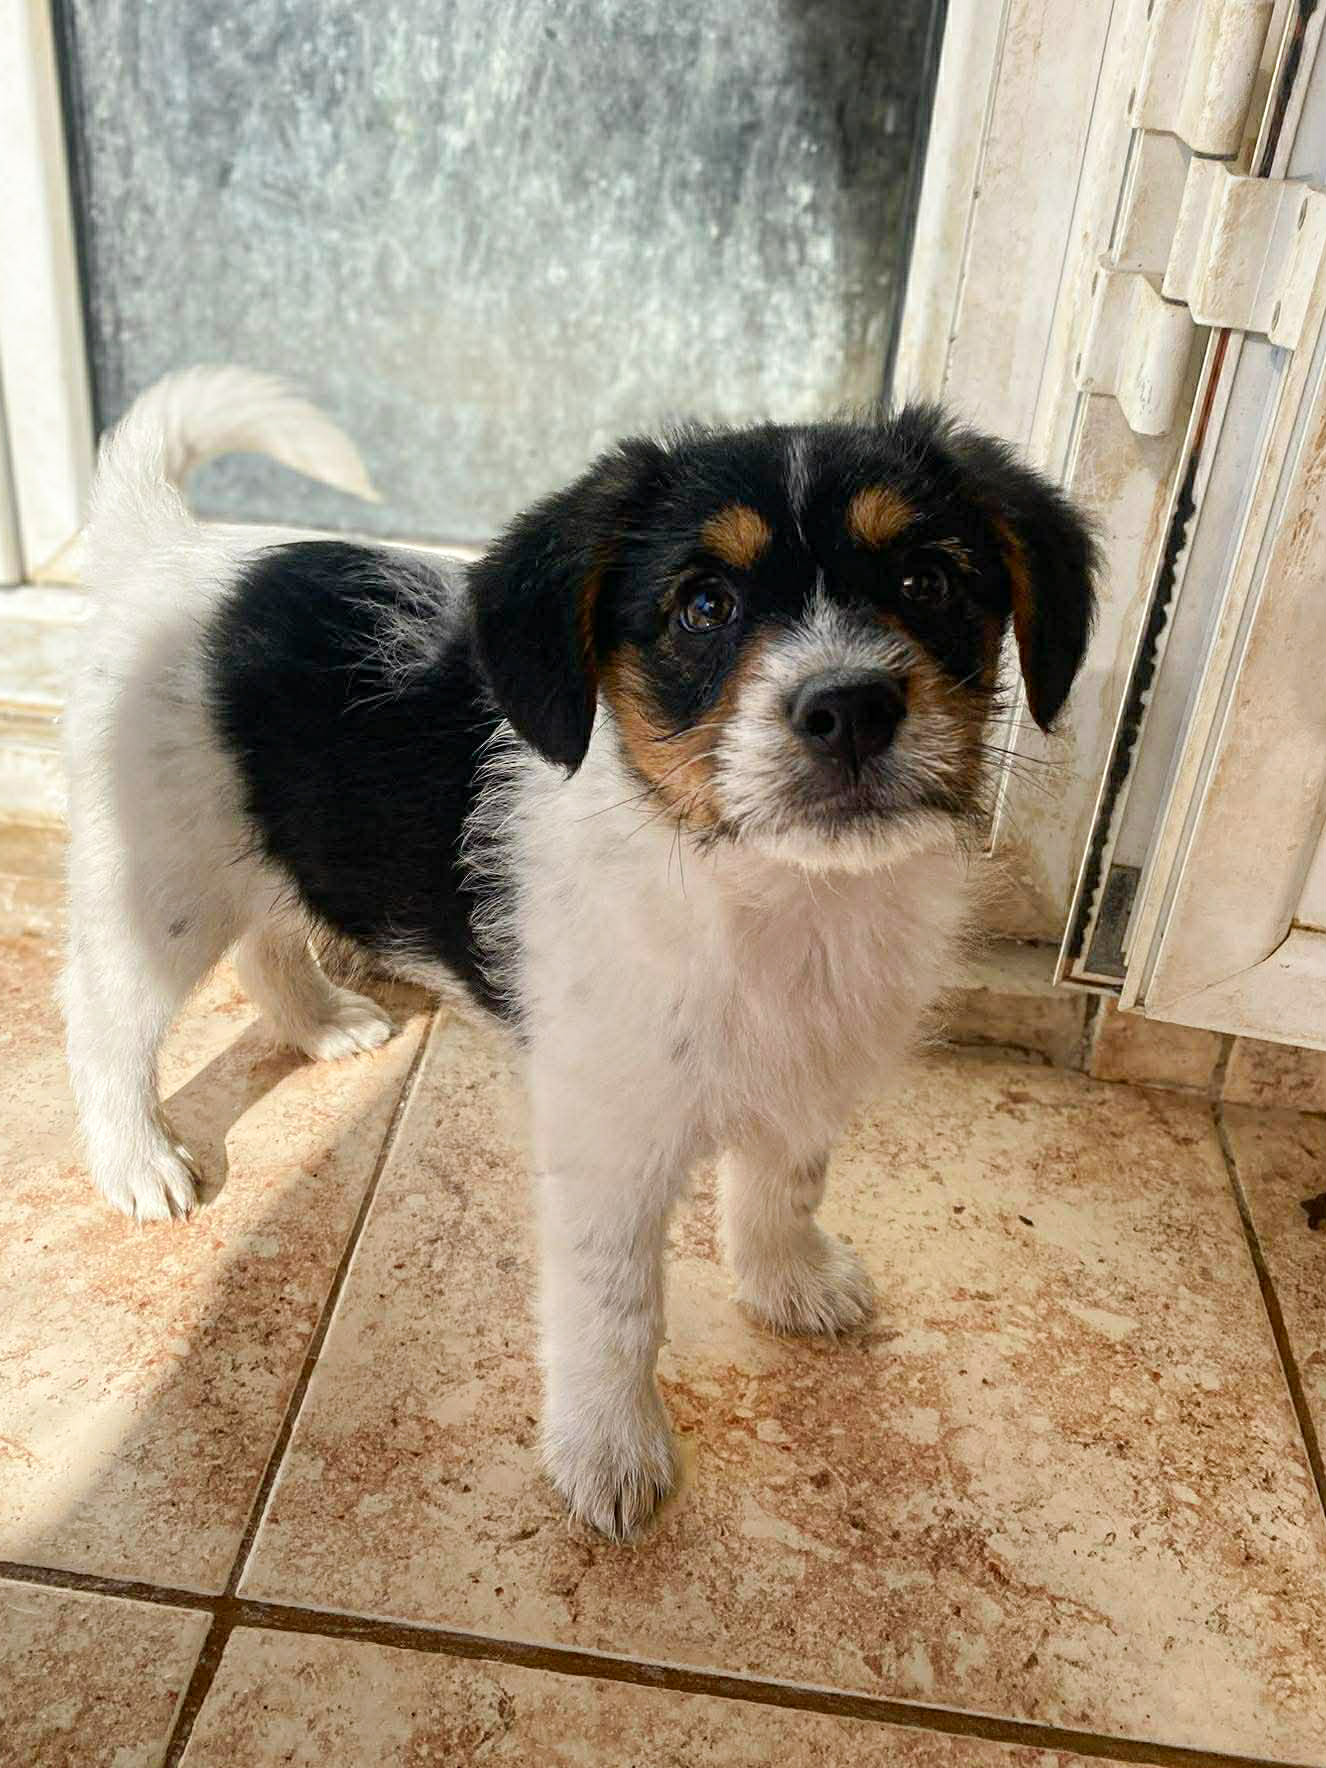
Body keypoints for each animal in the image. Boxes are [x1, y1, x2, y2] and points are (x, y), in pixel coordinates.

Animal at [62, 367, 1096, 1538]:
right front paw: (609, 1452)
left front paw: (788, 1282)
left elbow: (785, 1185)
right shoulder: (610, 1142)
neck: (764, 895)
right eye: (705, 607)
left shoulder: (804, 1075)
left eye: (927, 579)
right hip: (162, 890)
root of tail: (169, 549)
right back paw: (137, 1161)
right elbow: (613, 1308)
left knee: (270, 939)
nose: (850, 706)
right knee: (101, 1016)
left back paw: (321, 1023)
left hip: (273, 845)